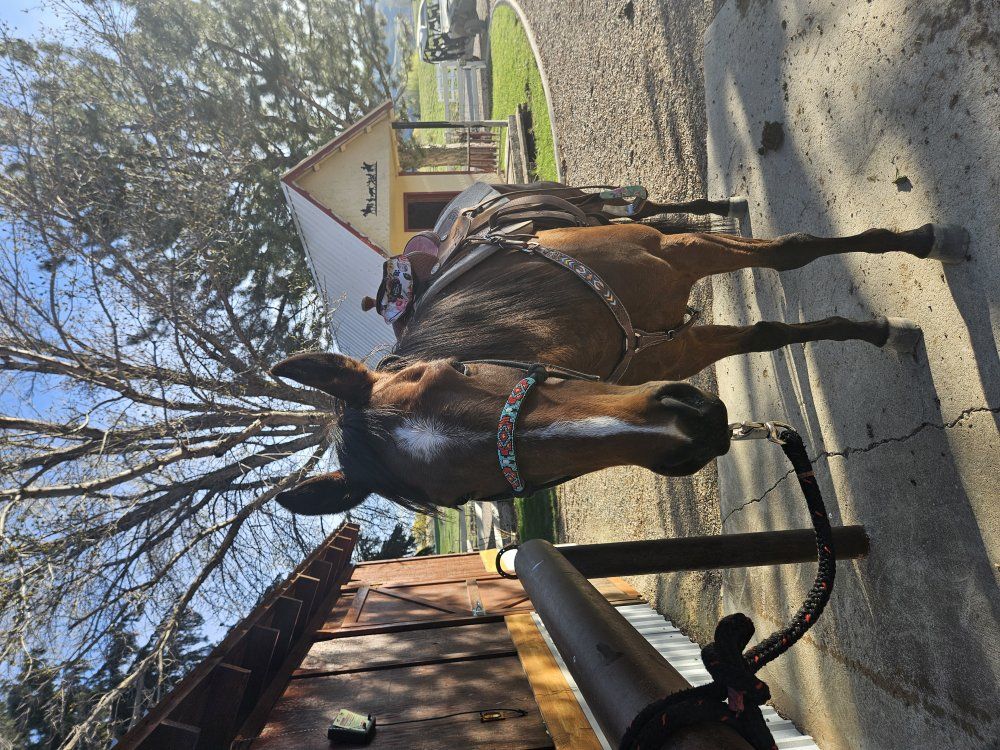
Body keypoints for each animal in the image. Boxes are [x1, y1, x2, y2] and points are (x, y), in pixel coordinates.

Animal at [271, 187, 968, 516]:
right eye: (465, 494)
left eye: (458, 367)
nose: (688, 427)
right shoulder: (675, 356)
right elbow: (767, 333)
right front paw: (876, 330)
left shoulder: (675, 255)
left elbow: (790, 251)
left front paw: (917, 245)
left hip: (610, 209)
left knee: (655, 207)